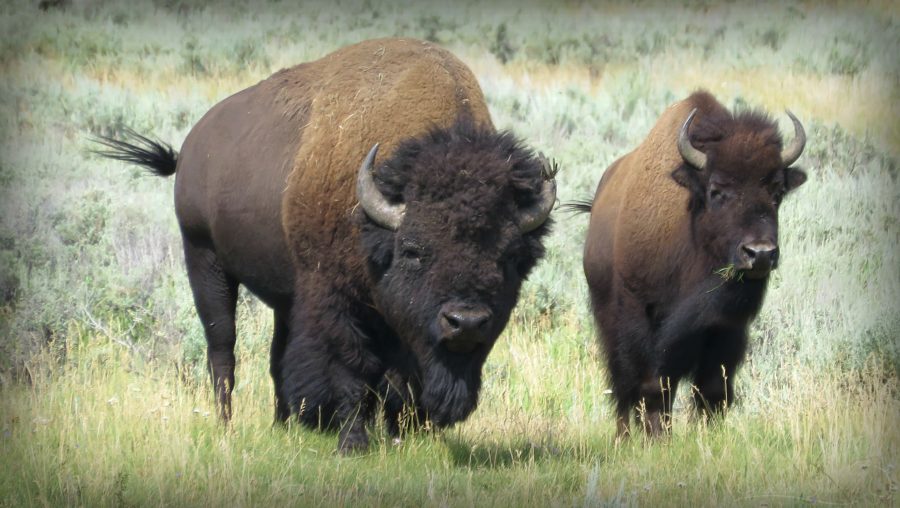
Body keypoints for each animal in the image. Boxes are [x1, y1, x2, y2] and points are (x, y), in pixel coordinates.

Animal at [96, 38, 556, 452]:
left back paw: (283, 425)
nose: (465, 322)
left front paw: (400, 436)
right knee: (222, 349)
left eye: (510, 257)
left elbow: (398, 377)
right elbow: (351, 367)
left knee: (276, 354)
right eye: (412, 249)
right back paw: (226, 428)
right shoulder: (334, 300)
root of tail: (193, 145)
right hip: (204, 259)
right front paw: (352, 442)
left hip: (282, 294)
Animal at [576, 90, 808, 436]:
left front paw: (707, 435)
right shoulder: (640, 313)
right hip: (608, 317)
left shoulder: (725, 327)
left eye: (777, 191)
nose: (760, 253)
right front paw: (657, 436)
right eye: (717, 190)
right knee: (621, 381)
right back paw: (624, 435)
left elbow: (713, 388)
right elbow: (652, 383)